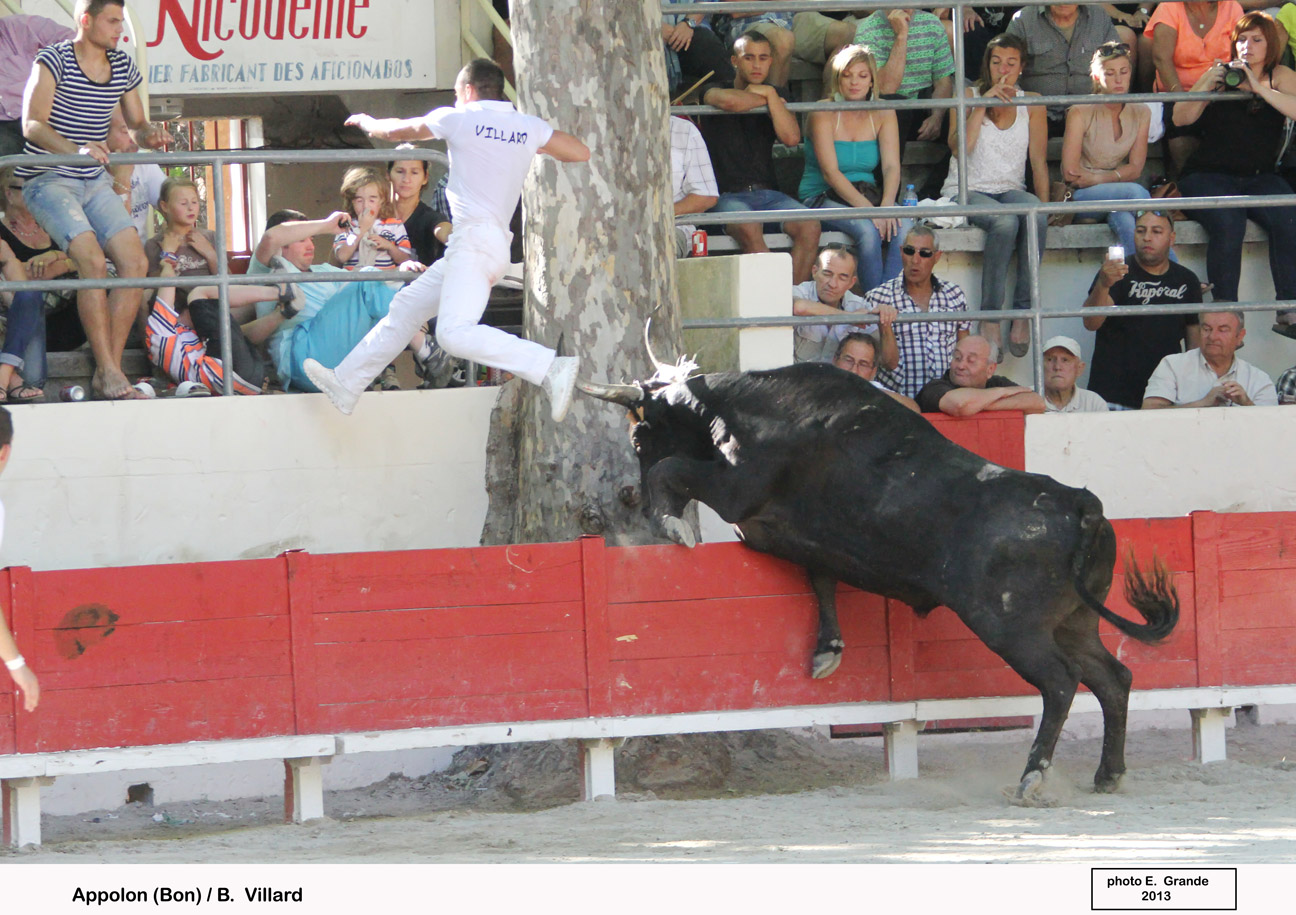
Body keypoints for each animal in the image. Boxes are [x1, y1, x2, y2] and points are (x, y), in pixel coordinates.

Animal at [578, 357, 1179, 802]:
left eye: (639, 439)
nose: (635, 504)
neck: (750, 412)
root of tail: (1080, 503)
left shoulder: (738, 496)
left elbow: (674, 469)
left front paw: (672, 522)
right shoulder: (793, 534)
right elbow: (820, 576)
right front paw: (828, 650)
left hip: (1011, 626)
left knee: (1059, 682)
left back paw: (1032, 778)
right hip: (1075, 622)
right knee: (1113, 679)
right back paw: (1108, 774)